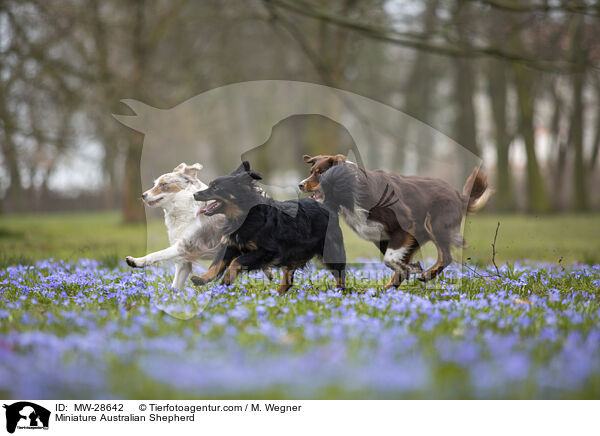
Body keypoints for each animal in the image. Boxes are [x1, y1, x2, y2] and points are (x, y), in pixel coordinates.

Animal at [190, 162, 344, 294]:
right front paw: (203, 279)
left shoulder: (266, 251)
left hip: (330, 251)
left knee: (339, 275)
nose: (195, 194)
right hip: (292, 256)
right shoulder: (231, 245)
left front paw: (226, 279)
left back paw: (338, 293)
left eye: (216, 188)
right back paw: (276, 295)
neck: (243, 216)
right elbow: (216, 264)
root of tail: (327, 206)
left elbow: (236, 262)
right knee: (288, 280)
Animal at [300, 155, 492, 288]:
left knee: (446, 255)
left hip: (435, 225)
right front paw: (409, 269)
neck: (352, 191)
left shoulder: (404, 226)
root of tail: (458, 195)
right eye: (311, 172)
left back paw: (426, 275)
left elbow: (389, 259)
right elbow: (394, 260)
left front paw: (410, 270)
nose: (300, 185)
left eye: (320, 173)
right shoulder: (384, 237)